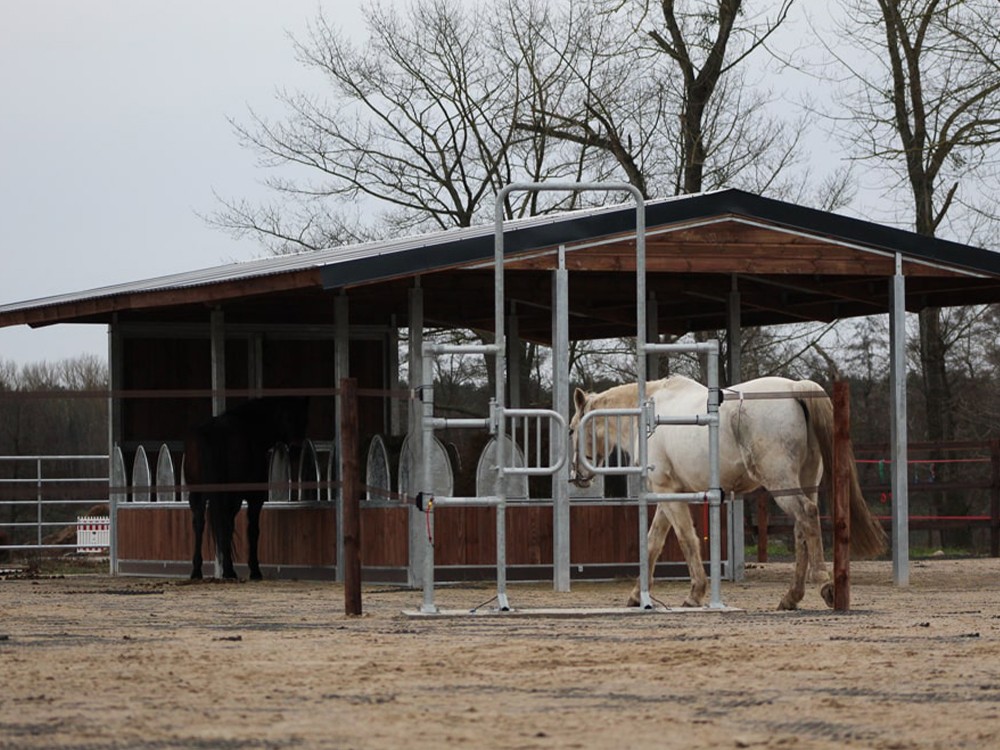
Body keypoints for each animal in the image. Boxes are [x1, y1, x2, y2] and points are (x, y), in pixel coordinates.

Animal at [184, 400, 308, 580]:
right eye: (289, 417)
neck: (251, 427)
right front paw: (254, 570)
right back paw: (229, 570)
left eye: (304, 418)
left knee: (199, 524)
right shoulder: (254, 498)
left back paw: (197, 570)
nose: (296, 450)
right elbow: (253, 530)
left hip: (197, 494)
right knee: (225, 524)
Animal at [572, 376, 892, 612]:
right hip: (804, 482)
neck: (648, 417)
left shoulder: (665, 491)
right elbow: (653, 543)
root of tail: (793, 388)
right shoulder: (668, 493)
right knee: (802, 529)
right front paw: (638, 594)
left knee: (807, 516)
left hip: (780, 483)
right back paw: (791, 597)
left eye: (573, 429)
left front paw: (695, 593)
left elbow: (685, 540)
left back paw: (824, 584)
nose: (578, 476)